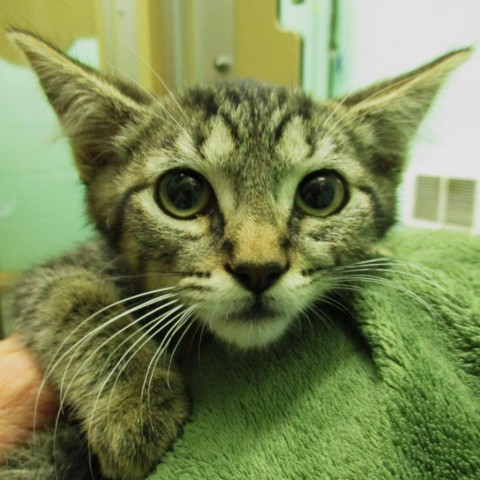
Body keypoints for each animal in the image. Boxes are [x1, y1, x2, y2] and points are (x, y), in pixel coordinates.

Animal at [2, 31, 468, 480]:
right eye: (182, 193)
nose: (259, 270)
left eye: (321, 194)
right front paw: (133, 403)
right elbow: (67, 292)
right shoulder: (54, 273)